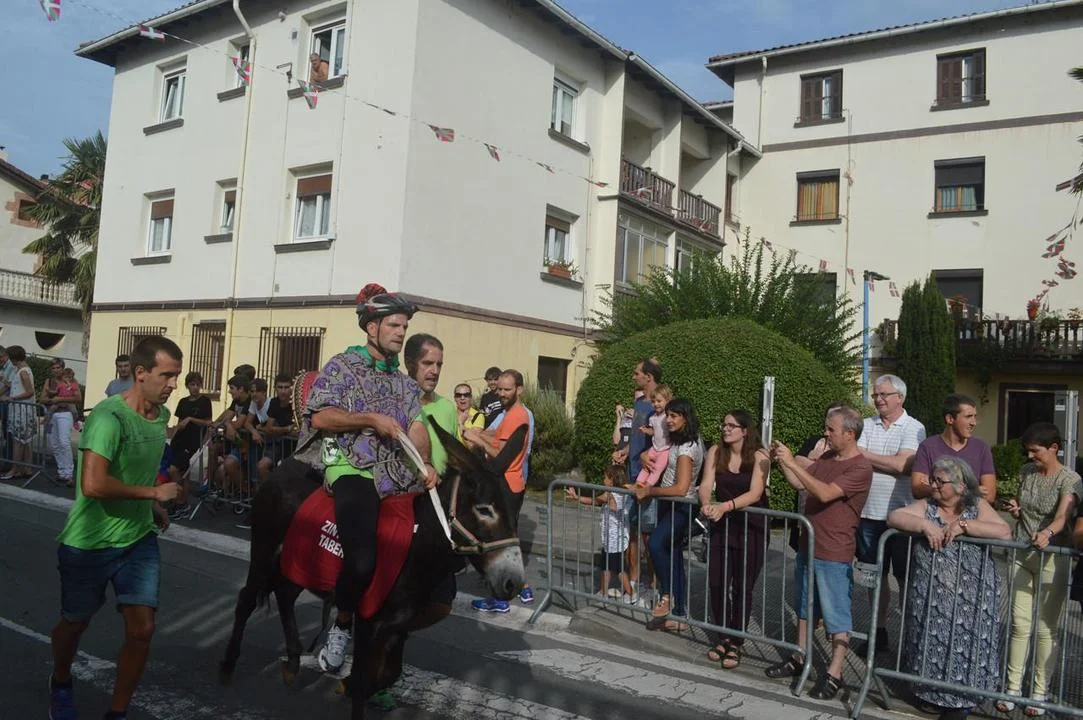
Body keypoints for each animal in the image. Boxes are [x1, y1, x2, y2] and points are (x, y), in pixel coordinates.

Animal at [219, 419, 527, 719]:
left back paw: (293, 663)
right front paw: (350, 687)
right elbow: (362, 678)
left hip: (297, 560)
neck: (415, 542)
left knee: (284, 594)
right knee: (246, 599)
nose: (514, 583)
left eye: (515, 512)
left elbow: (386, 673)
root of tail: (282, 469)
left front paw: (350, 686)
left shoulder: (397, 625)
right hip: (264, 549)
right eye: (484, 509)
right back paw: (228, 668)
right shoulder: (369, 620)